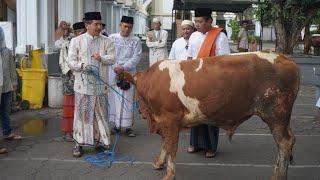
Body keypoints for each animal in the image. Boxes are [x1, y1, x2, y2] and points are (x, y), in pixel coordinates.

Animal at [125, 51, 300, 179]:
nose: (140, 112)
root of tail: (286, 59)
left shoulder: (170, 118)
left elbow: (171, 146)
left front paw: (169, 174)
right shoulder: (164, 122)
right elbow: (165, 143)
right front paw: (158, 163)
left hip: (276, 115)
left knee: (284, 143)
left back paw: (277, 176)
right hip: (282, 119)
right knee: (290, 140)